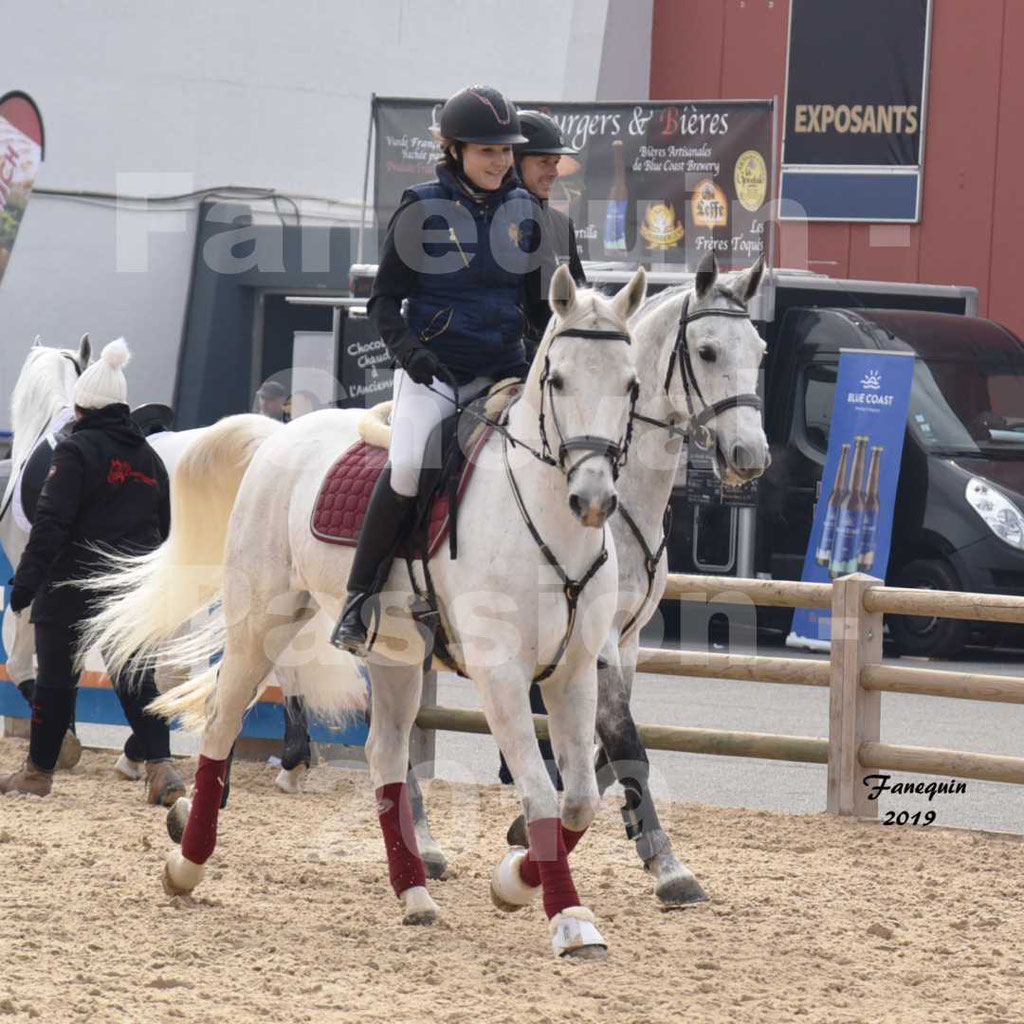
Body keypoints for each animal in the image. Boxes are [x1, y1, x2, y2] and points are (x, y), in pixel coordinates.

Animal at [90, 266, 647, 958]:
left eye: (631, 384)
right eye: (558, 380)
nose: (592, 500)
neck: (546, 524)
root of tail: (281, 433)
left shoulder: (572, 673)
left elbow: (580, 802)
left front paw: (516, 884)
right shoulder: (502, 677)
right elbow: (543, 794)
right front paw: (567, 919)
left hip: (395, 657)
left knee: (384, 755)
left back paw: (413, 893)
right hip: (260, 625)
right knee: (221, 724)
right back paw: (185, 865)